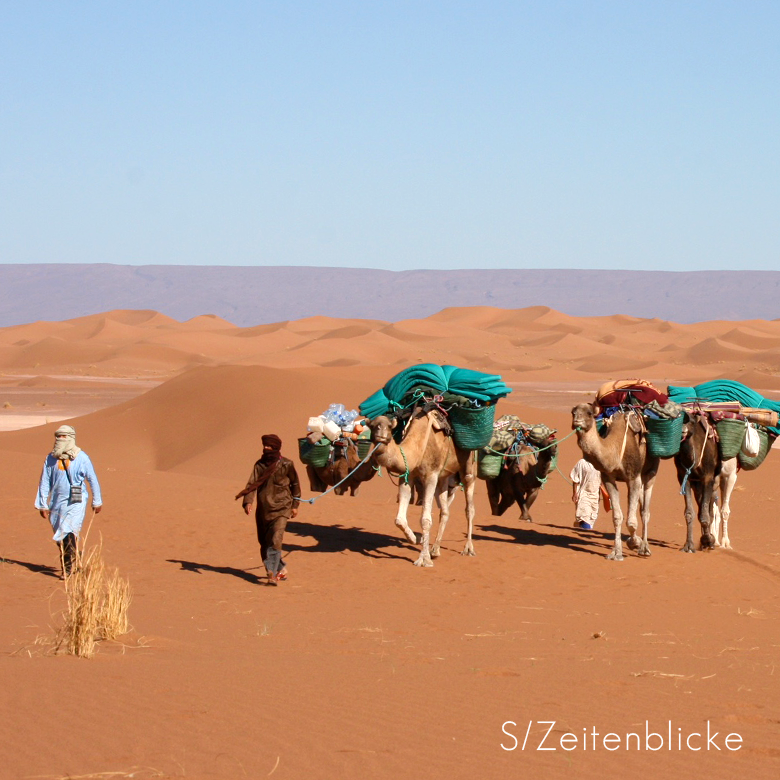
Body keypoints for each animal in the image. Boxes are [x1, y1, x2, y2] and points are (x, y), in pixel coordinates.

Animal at [368, 408, 478, 568]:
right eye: (372, 426)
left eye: (389, 426)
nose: (380, 434)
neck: (417, 445)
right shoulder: (408, 475)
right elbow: (399, 519)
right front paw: (415, 538)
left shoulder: (431, 475)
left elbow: (425, 519)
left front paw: (423, 559)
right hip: (443, 477)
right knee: (445, 511)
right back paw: (435, 549)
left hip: (468, 467)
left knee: (469, 508)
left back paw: (468, 548)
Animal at [568, 402, 660, 560]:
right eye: (573, 413)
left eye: (589, 413)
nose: (576, 422)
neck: (614, 450)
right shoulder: (608, 479)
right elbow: (617, 517)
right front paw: (616, 553)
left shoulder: (633, 477)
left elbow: (631, 521)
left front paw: (634, 543)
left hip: (651, 470)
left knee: (645, 511)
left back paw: (645, 548)